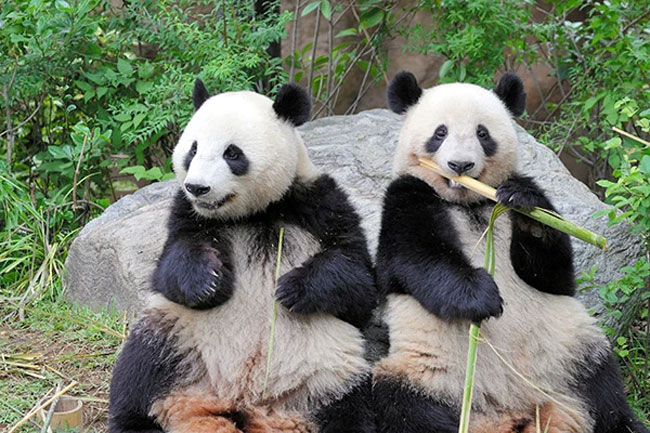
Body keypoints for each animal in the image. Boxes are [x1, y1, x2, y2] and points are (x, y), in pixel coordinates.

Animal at [108, 80, 377, 433]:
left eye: (232, 153)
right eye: (193, 149)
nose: (198, 188)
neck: (253, 213)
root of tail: (238, 403)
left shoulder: (320, 202)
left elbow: (358, 282)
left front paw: (293, 289)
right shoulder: (187, 215)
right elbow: (170, 268)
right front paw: (208, 283)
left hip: (330, 371)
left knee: (354, 409)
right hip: (176, 337)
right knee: (136, 373)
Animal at [372, 71, 649, 433]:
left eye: (482, 133)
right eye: (440, 133)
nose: (460, 164)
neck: (470, 203)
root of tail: (511, 412)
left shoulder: (513, 198)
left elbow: (555, 274)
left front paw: (525, 208)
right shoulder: (405, 197)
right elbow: (417, 258)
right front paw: (482, 296)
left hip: (570, 352)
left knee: (603, 390)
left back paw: (623, 422)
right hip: (427, 373)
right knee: (405, 406)